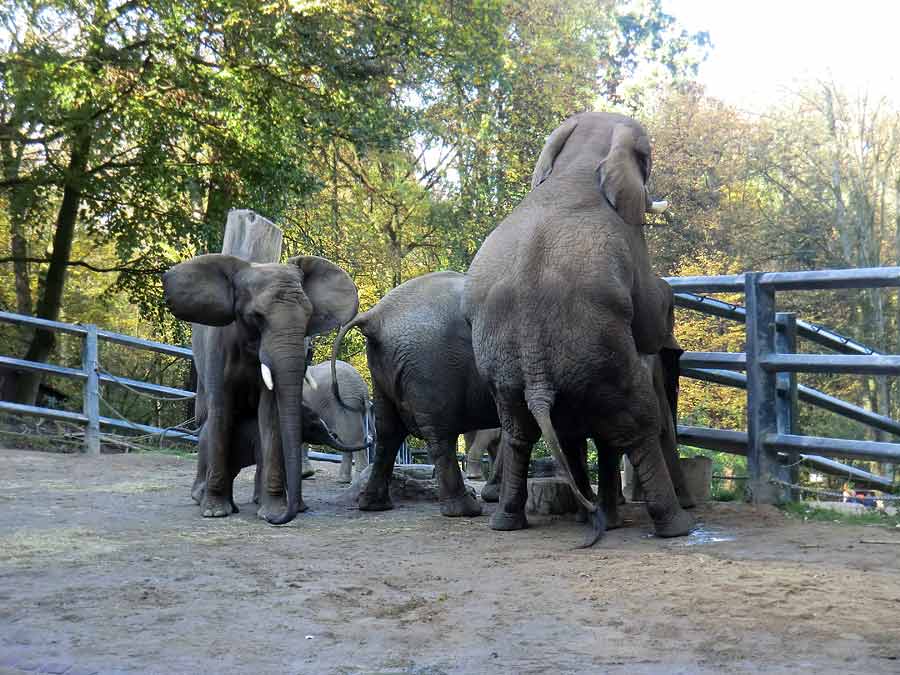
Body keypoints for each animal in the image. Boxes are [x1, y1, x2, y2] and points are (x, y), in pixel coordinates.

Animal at [163, 254, 360, 528]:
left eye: (309, 316)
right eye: (256, 316)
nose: (283, 518)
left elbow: (270, 413)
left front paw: (270, 512)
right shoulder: (218, 350)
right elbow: (221, 411)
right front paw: (215, 512)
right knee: (207, 419)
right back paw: (201, 498)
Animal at [464, 111, 696, 544]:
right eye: (647, 157)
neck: (576, 163)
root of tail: (537, 376)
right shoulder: (630, 236)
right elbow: (648, 321)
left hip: (509, 369)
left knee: (521, 431)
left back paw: (511, 521)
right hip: (601, 356)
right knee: (638, 422)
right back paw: (675, 527)